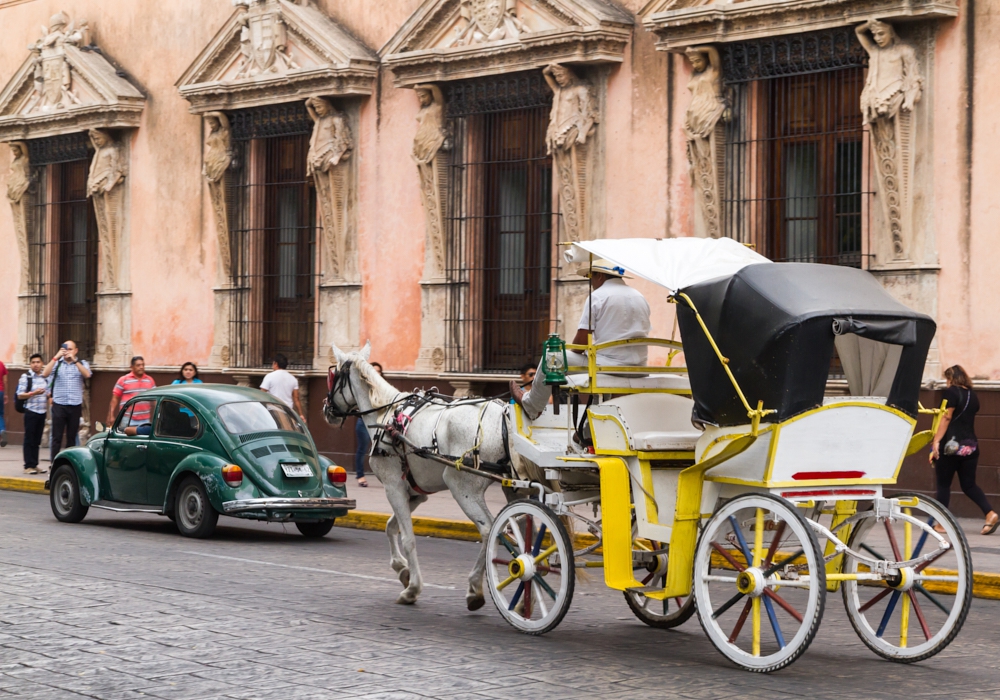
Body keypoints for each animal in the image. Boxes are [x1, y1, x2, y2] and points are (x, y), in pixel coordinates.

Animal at [326, 344, 516, 608]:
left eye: (333, 377)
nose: (327, 410)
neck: (386, 416)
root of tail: (503, 413)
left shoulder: (393, 487)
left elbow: (408, 538)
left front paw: (412, 588)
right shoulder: (415, 493)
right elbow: (390, 527)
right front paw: (402, 569)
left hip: (462, 486)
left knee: (491, 530)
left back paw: (475, 588)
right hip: (511, 486)